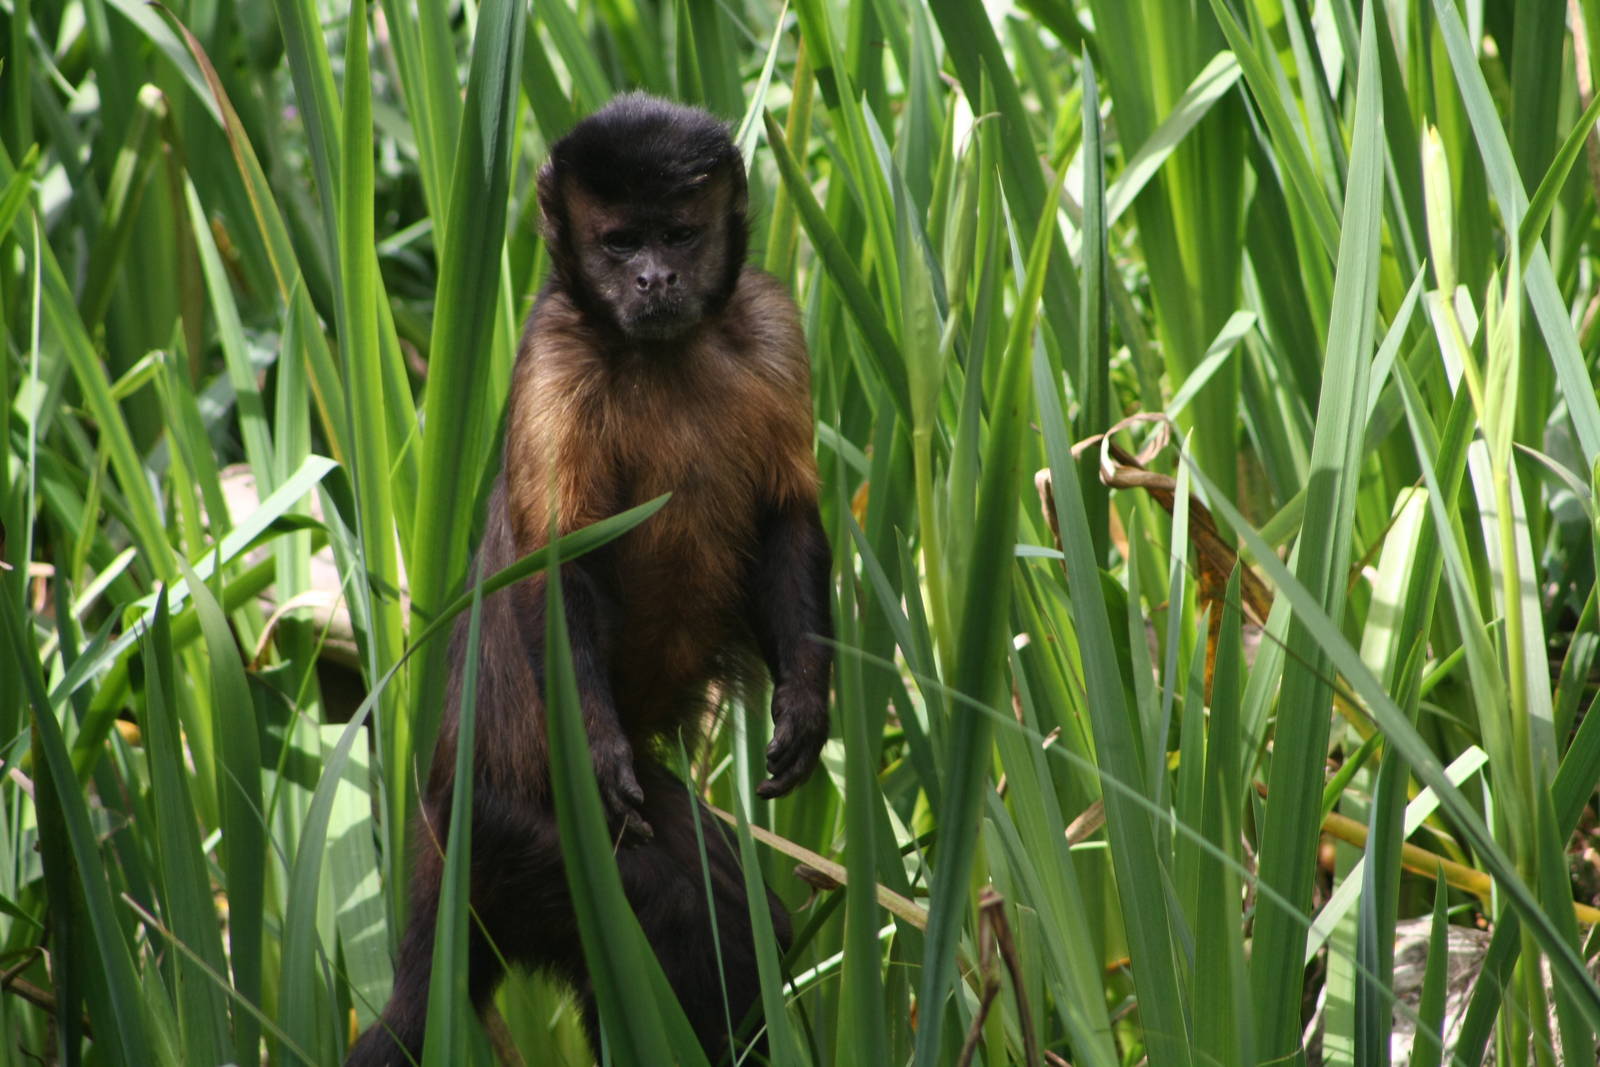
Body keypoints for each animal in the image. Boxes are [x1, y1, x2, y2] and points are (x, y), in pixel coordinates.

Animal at [347, 94, 833, 1065]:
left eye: (677, 234)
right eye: (617, 242)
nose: (652, 279)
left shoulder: (770, 320)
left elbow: (786, 518)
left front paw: (804, 701)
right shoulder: (552, 361)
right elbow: (560, 564)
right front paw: (602, 745)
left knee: (730, 906)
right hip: (519, 833)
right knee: (684, 923)